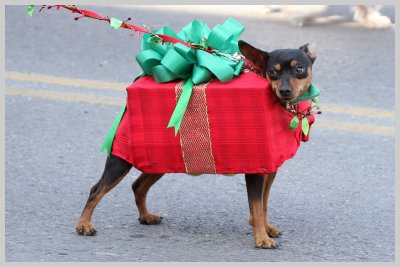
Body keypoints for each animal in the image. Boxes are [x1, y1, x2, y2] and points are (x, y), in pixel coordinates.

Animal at [76, 40, 316, 250]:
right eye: (272, 72)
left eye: (299, 69)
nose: (284, 91)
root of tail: (126, 106)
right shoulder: (256, 171)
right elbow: (256, 207)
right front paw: (261, 239)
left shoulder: (270, 169)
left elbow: (263, 205)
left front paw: (266, 228)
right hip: (121, 161)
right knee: (96, 189)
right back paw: (84, 224)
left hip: (159, 162)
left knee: (138, 186)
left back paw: (145, 216)